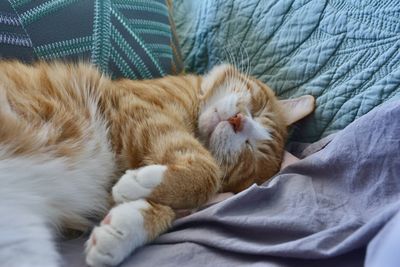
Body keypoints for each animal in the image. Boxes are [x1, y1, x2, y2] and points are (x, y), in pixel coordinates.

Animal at [0, 61, 314, 267]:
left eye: (251, 151)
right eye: (257, 110)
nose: (238, 121)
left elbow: (170, 208)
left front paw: (124, 229)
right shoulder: (139, 110)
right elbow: (206, 172)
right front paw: (140, 186)